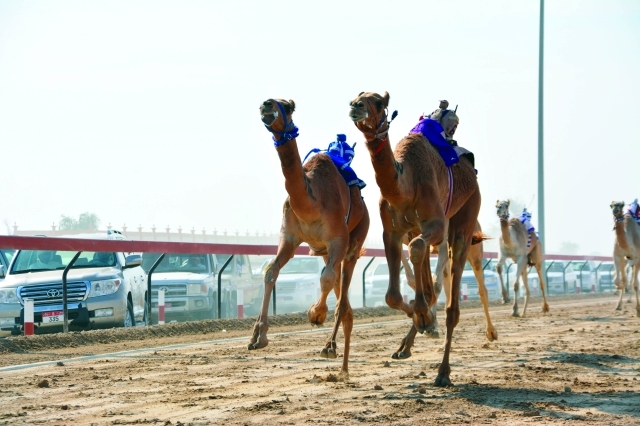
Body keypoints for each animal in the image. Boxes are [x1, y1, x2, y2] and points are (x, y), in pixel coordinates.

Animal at [250, 98, 370, 378]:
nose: (267, 104)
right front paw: (258, 337)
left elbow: (324, 279)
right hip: (327, 252)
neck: (311, 202)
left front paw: (316, 314)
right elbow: (270, 271)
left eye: (288, 106)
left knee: (341, 294)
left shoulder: (337, 239)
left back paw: (331, 349)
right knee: (344, 299)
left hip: (355, 240)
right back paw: (341, 364)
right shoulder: (289, 236)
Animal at [352, 91, 482, 388]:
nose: (356, 107)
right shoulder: (392, 231)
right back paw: (409, 341)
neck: (406, 183)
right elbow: (391, 295)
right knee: (425, 273)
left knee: (452, 303)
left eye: (378, 102)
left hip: (465, 215)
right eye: (357, 96)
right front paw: (421, 316)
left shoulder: (435, 222)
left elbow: (418, 248)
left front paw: (425, 316)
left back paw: (443, 372)